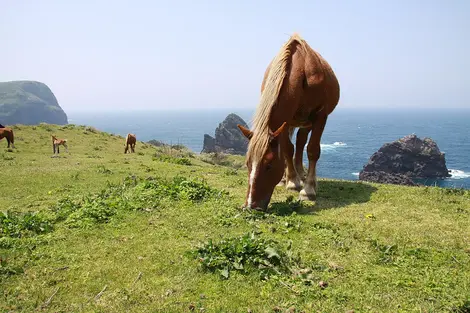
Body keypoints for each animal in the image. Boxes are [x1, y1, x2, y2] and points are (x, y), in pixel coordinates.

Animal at [237, 33, 340, 211]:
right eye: (248, 164)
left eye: (269, 165)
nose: (251, 206)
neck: (301, 70)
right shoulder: (284, 121)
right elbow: (286, 150)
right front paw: (291, 181)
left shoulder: (320, 116)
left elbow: (312, 150)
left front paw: (308, 189)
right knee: (294, 145)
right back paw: (289, 178)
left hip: (307, 122)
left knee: (301, 141)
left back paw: (303, 175)